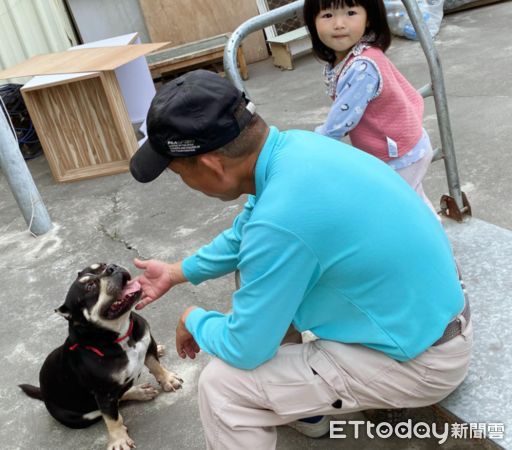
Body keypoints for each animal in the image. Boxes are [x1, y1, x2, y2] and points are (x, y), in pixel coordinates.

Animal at [20, 262, 184, 450]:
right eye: (90, 286)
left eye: (102, 265)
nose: (112, 267)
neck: (121, 336)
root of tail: (43, 392)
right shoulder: (104, 393)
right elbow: (112, 419)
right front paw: (119, 440)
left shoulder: (147, 344)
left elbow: (156, 365)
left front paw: (168, 378)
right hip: (79, 416)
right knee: (110, 407)